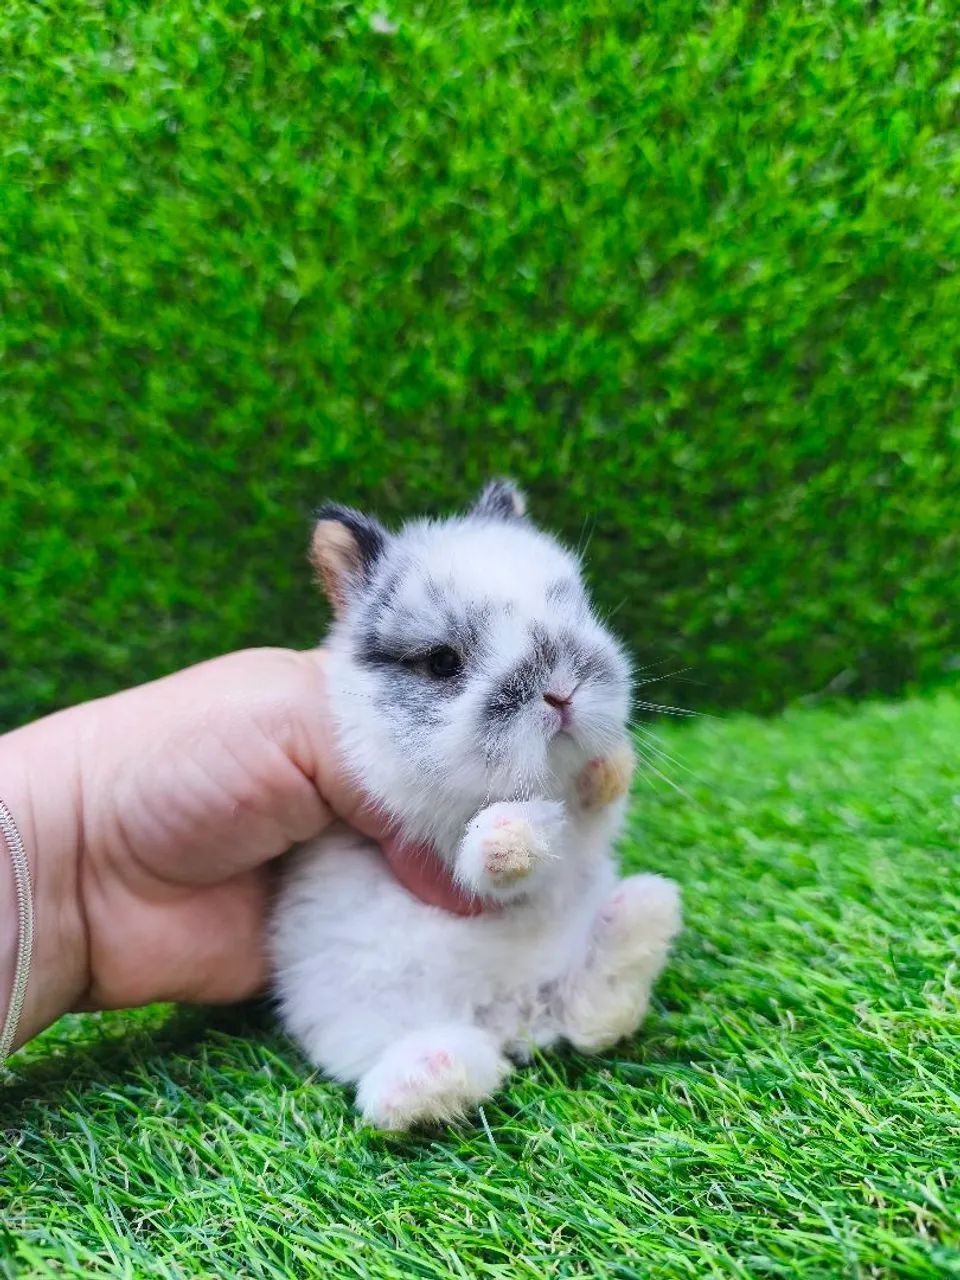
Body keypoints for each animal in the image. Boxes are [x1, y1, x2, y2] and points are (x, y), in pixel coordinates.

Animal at [270, 480, 682, 1130]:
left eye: (575, 610)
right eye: (442, 662)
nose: (561, 692)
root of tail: (516, 1014)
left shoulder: (586, 839)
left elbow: (592, 818)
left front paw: (608, 769)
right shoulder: (412, 833)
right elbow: (477, 859)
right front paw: (510, 837)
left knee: (594, 1019)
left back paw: (642, 913)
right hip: (359, 1013)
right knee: (433, 1075)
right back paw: (425, 1076)